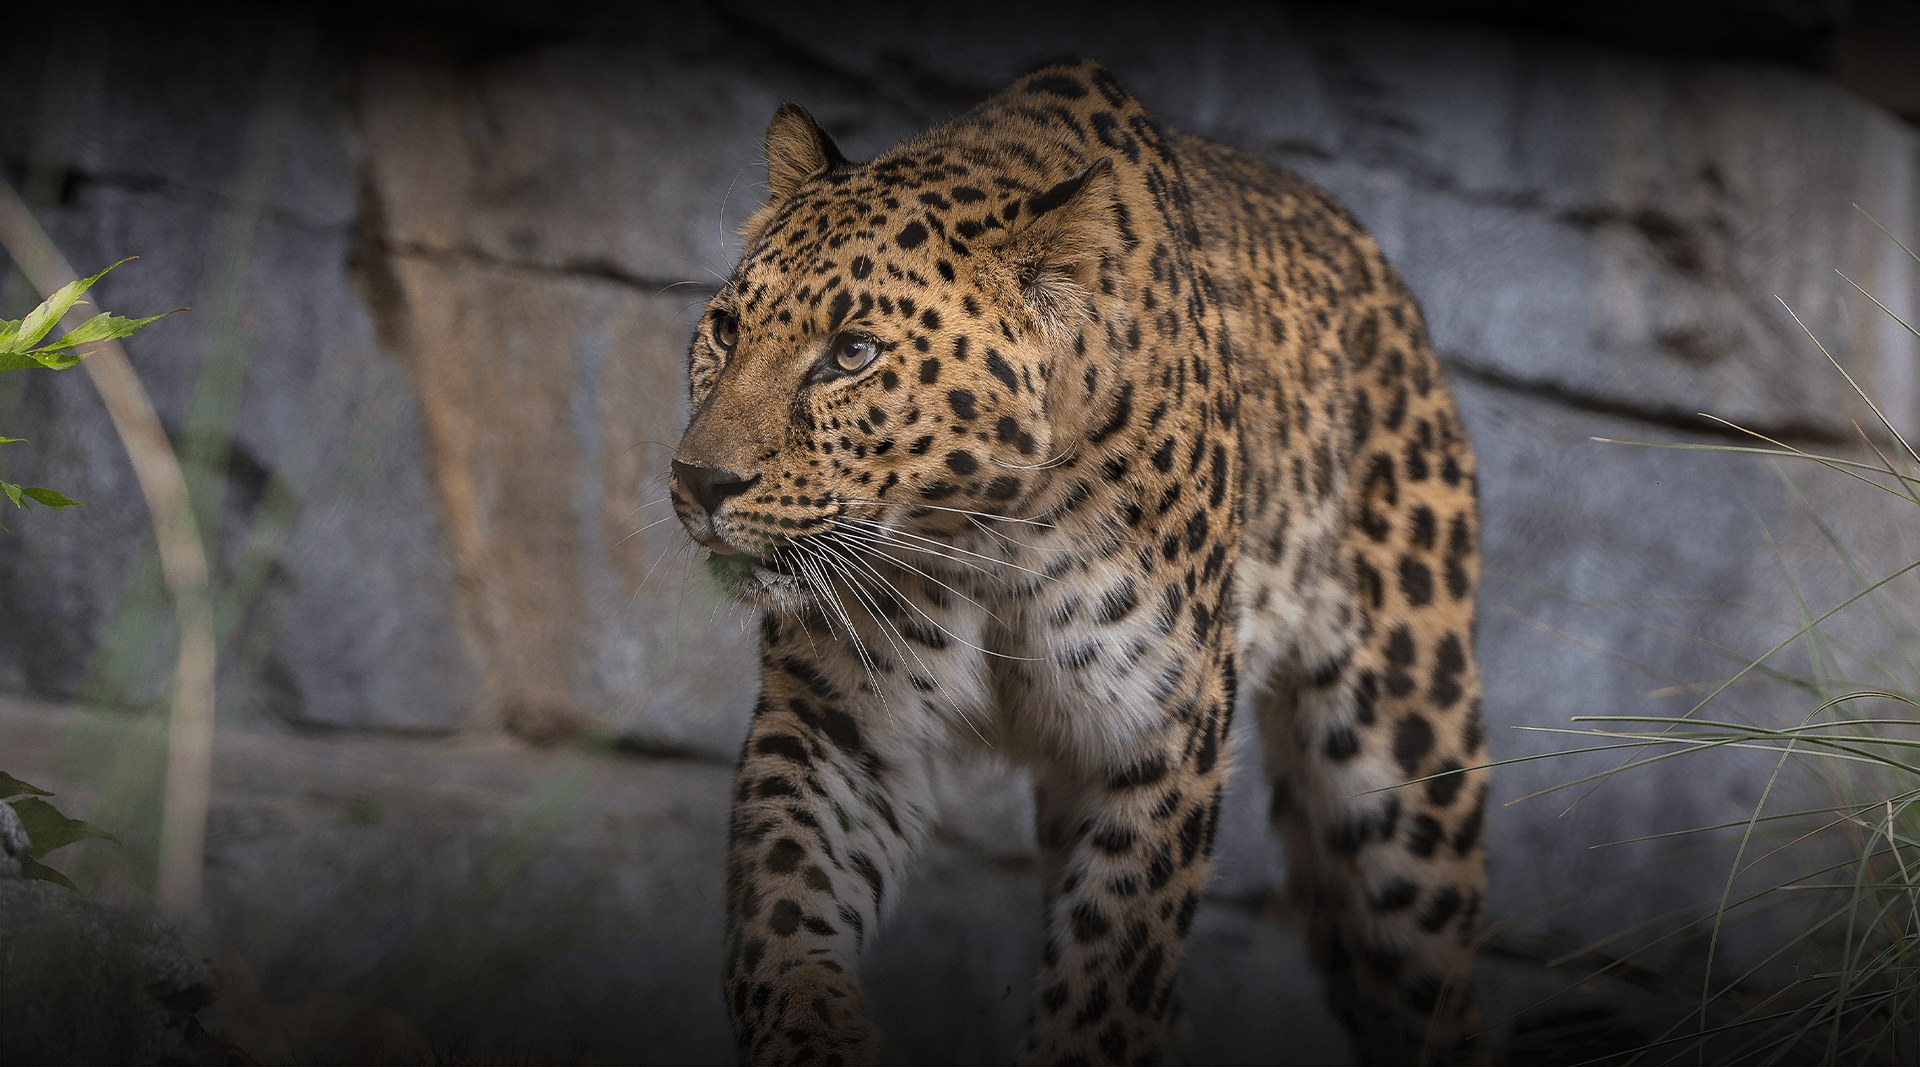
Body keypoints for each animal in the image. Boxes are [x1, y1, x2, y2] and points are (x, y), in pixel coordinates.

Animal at [669, 58, 1488, 1066]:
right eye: (725, 329)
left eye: (851, 353)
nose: (699, 480)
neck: (982, 536)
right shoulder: (839, 724)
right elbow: (784, 903)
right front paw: (813, 1034)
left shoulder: (1162, 736)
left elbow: (1110, 971)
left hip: (1403, 773)